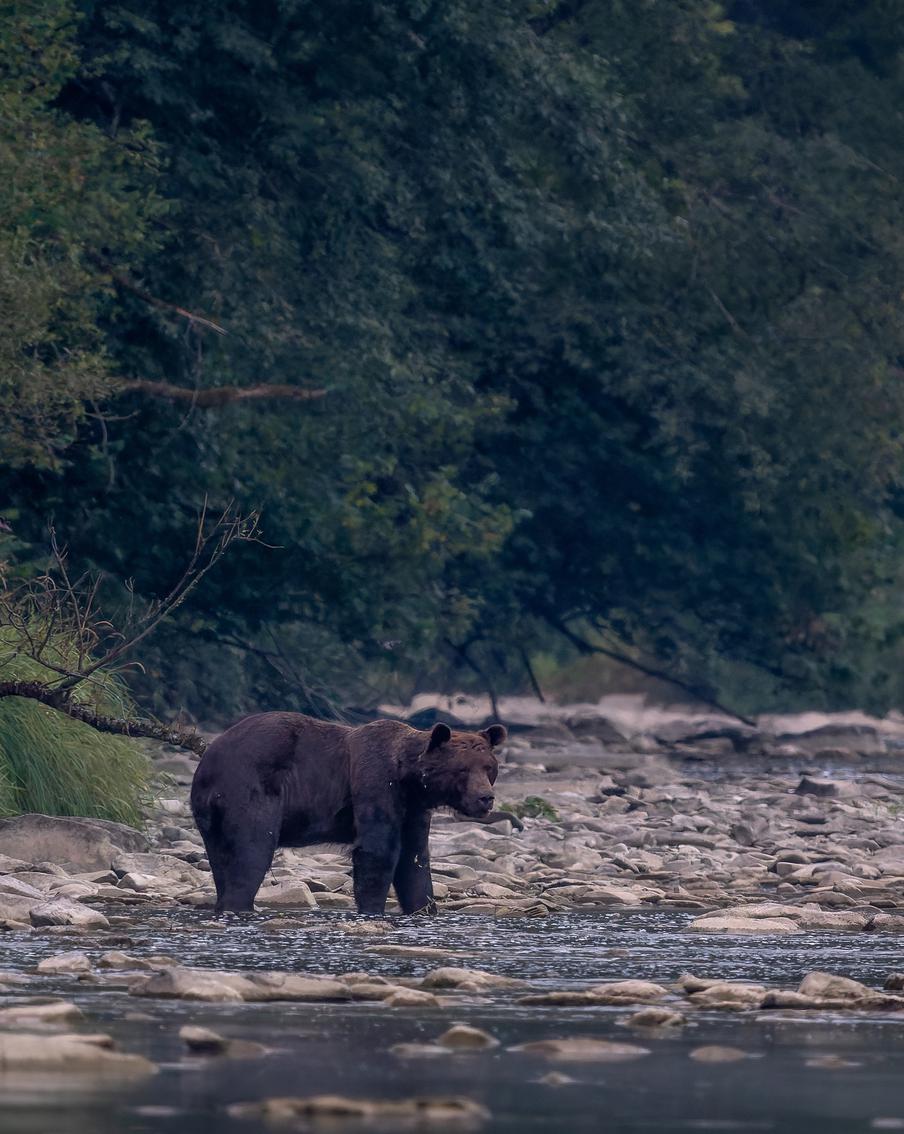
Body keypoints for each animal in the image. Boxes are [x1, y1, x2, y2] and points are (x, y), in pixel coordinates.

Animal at [189, 712, 507, 916]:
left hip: (210, 815)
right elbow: (378, 852)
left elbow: (414, 860)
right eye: (462, 768)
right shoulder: (375, 783)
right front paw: (373, 909)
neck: (410, 777)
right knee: (253, 850)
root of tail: (209, 760)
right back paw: (239, 905)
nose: (485, 798)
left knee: (221, 858)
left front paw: (423, 908)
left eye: (489, 767)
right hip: (251, 788)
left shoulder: (414, 809)